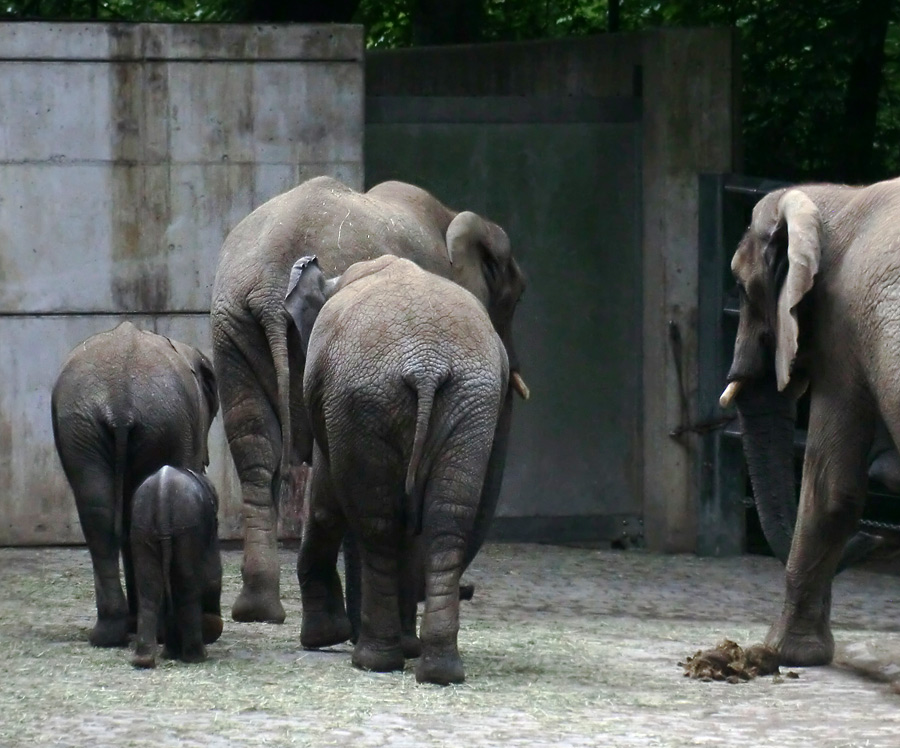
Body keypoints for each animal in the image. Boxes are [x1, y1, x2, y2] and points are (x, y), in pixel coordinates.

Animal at [51, 322, 218, 648]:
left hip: (84, 426)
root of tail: (119, 400)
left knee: (98, 514)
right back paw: (156, 632)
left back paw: (110, 633)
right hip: (163, 422)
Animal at [128, 468, 223, 668]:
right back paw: (197, 657)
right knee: (187, 587)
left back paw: (145, 660)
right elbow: (212, 574)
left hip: (141, 527)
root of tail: (162, 493)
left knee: (149, 588)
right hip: (187, 528)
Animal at [210, 177, 528, 624]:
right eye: (515, 298)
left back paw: (259, 610)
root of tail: (271, 291)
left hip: (233, 323)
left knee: (254, 444)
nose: (468, 591)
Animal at [284, 256, 516, 684]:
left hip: (366, 399)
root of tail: (427, 366)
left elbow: (325, 501)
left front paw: (323, 638)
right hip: (470, 402)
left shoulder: (332, 405)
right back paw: (438, 670)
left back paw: (373, 660)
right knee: (445, 519)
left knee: (378, 524)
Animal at [716, 178, 900, 668]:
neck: (837, 199)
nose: (874, 540)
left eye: (739, 288)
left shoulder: (844, 333)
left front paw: (785, 652)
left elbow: (831, 488)